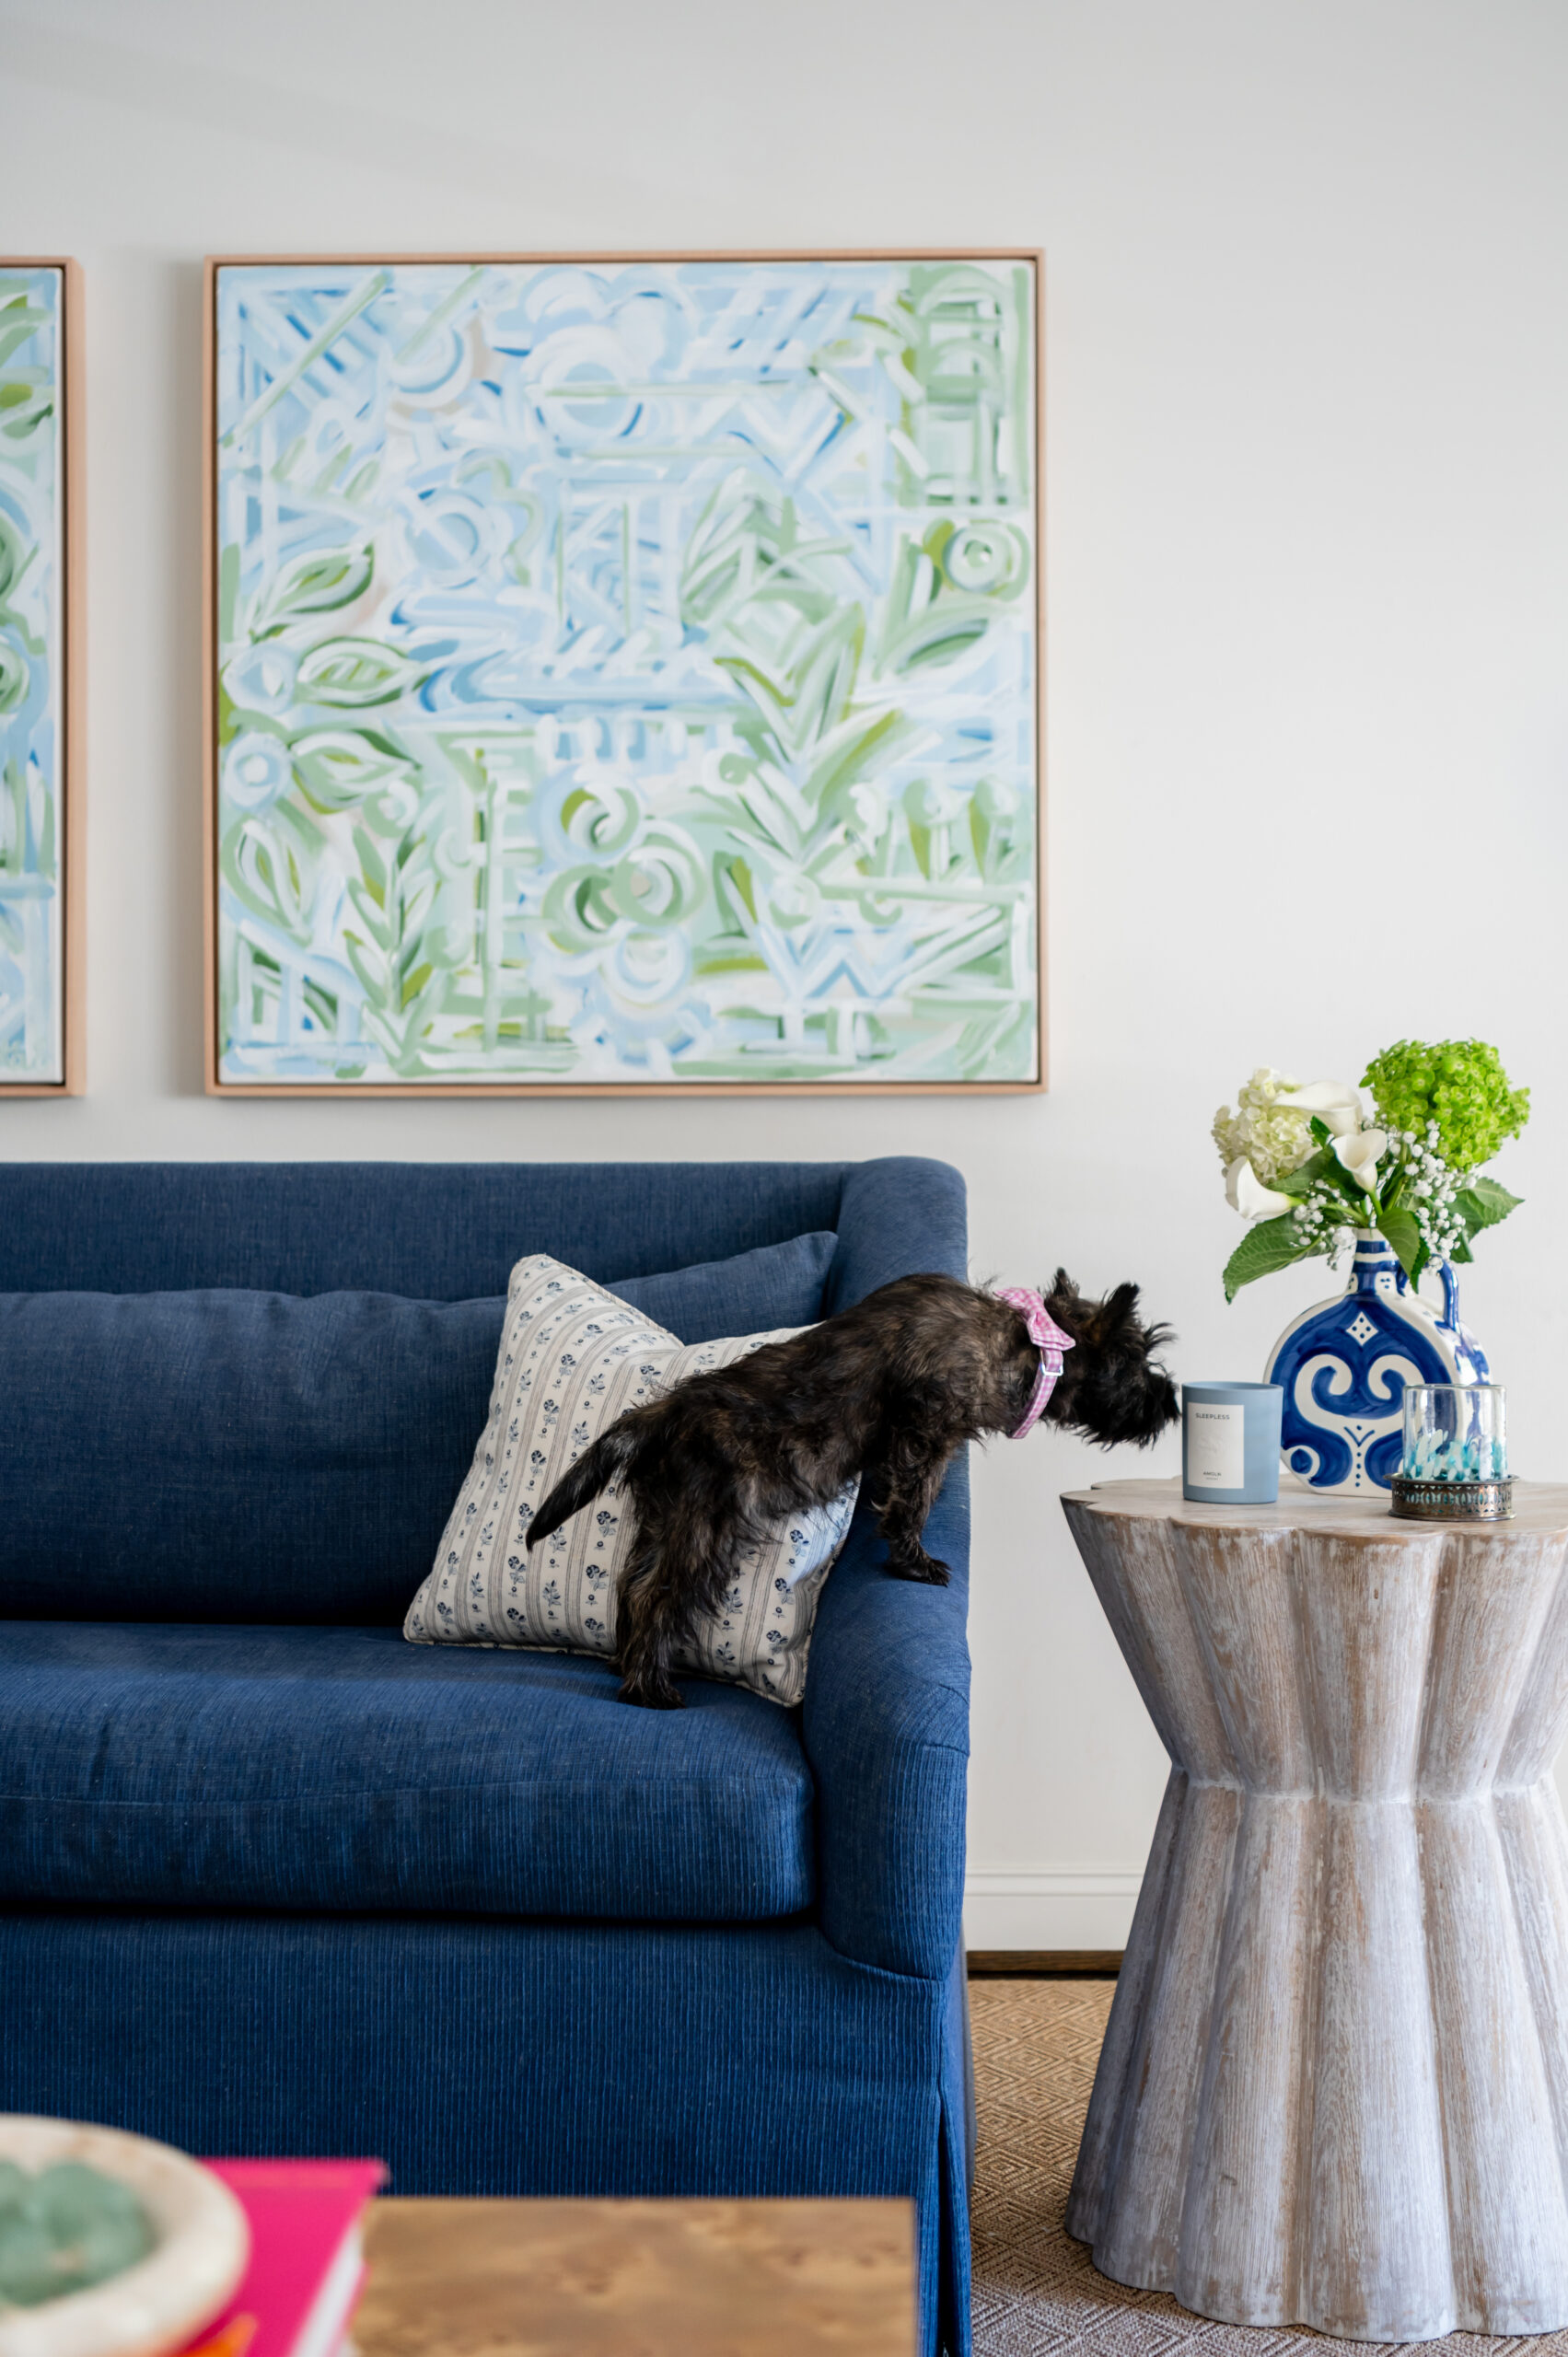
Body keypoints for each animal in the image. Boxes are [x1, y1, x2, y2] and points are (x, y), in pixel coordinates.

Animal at [526, 1282, 1174, 1706]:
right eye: (1136, 1361)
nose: (1169, 1404)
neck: (1021, 1341)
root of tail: (662, 1413)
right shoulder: (925, 1434)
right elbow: (912, 1503)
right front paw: (913, 1563)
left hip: (668, 1522)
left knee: (630, 1587)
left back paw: (627, 1667)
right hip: (706, 1532)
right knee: (655, 1598)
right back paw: (650, 1688)